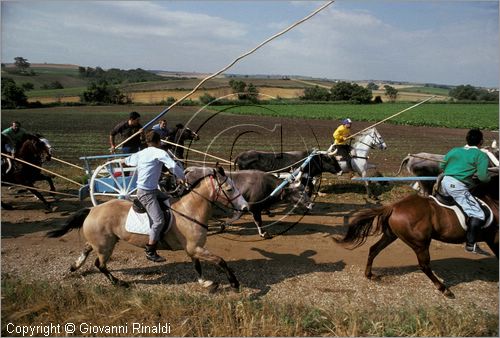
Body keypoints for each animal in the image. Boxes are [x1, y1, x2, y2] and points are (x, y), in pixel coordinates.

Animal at [47, 166, 249, 290]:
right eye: (229, 189)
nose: (246, 207)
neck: (190, 211)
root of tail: (92, 209)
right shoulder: (195, 248)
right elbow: (220, 261)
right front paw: (234, 283)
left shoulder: (193, 249)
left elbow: (197, 266)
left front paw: (204, 282)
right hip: (106, 246)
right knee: (100, 264)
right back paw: (120, 283)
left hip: (102, 241)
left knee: (87, 250)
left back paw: (74, 267)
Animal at [338, 176, 498, 298]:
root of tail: (393, 206)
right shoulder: (495, 240)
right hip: (420, 244)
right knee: (424, 265)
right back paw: (444, 289)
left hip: (391, 235)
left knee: (374, 249)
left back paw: (369, 274)